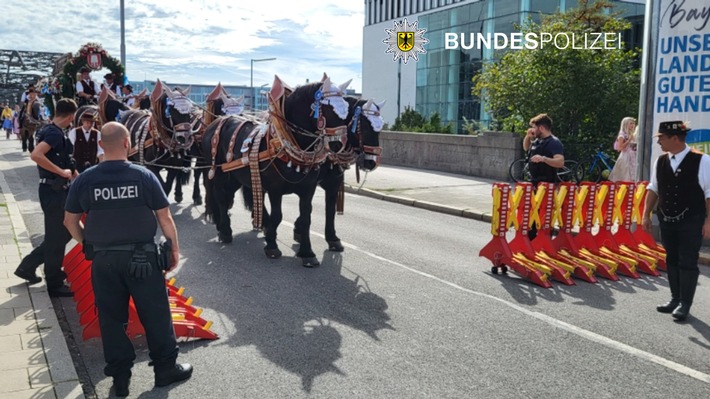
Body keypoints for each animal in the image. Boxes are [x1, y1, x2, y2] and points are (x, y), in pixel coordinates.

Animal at [203, 75, 354, 268]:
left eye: (346, 109)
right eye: (329, 108)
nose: (340, 145)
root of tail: (218, 121)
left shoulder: (309, 189)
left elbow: (306, 217)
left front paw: (307, 253)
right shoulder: (275, 189)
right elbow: (278, 216)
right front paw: (272, 246)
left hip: (237, 176)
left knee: (229, 196)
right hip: (219, 172)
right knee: (221, 198)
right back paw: (225, 231)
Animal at [294, 97, 386, 252]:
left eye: (379, 130)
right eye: (366, 128)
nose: (372, 162)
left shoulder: (334, 182)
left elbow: (330, 209)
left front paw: (332, 238)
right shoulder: (310, 183)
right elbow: (309, 207)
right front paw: (299, 229)